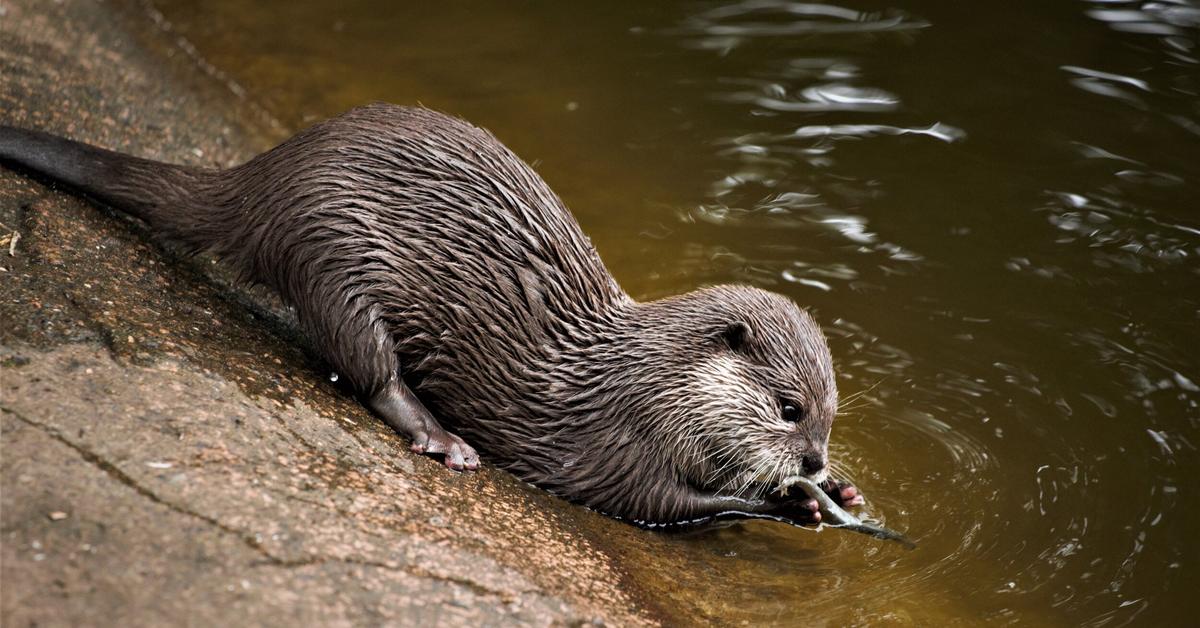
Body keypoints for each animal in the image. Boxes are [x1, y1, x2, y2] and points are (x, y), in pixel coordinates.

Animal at [0, 103, 864, 525]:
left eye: (829, 413)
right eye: (789, 409)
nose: (815, 461)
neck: (648, 383)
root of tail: (262, 179)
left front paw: (842, 492)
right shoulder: (618, 444)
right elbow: (658, 504)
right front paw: (782, 502)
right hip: (337, 258)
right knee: (369, 369)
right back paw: (441, 438)